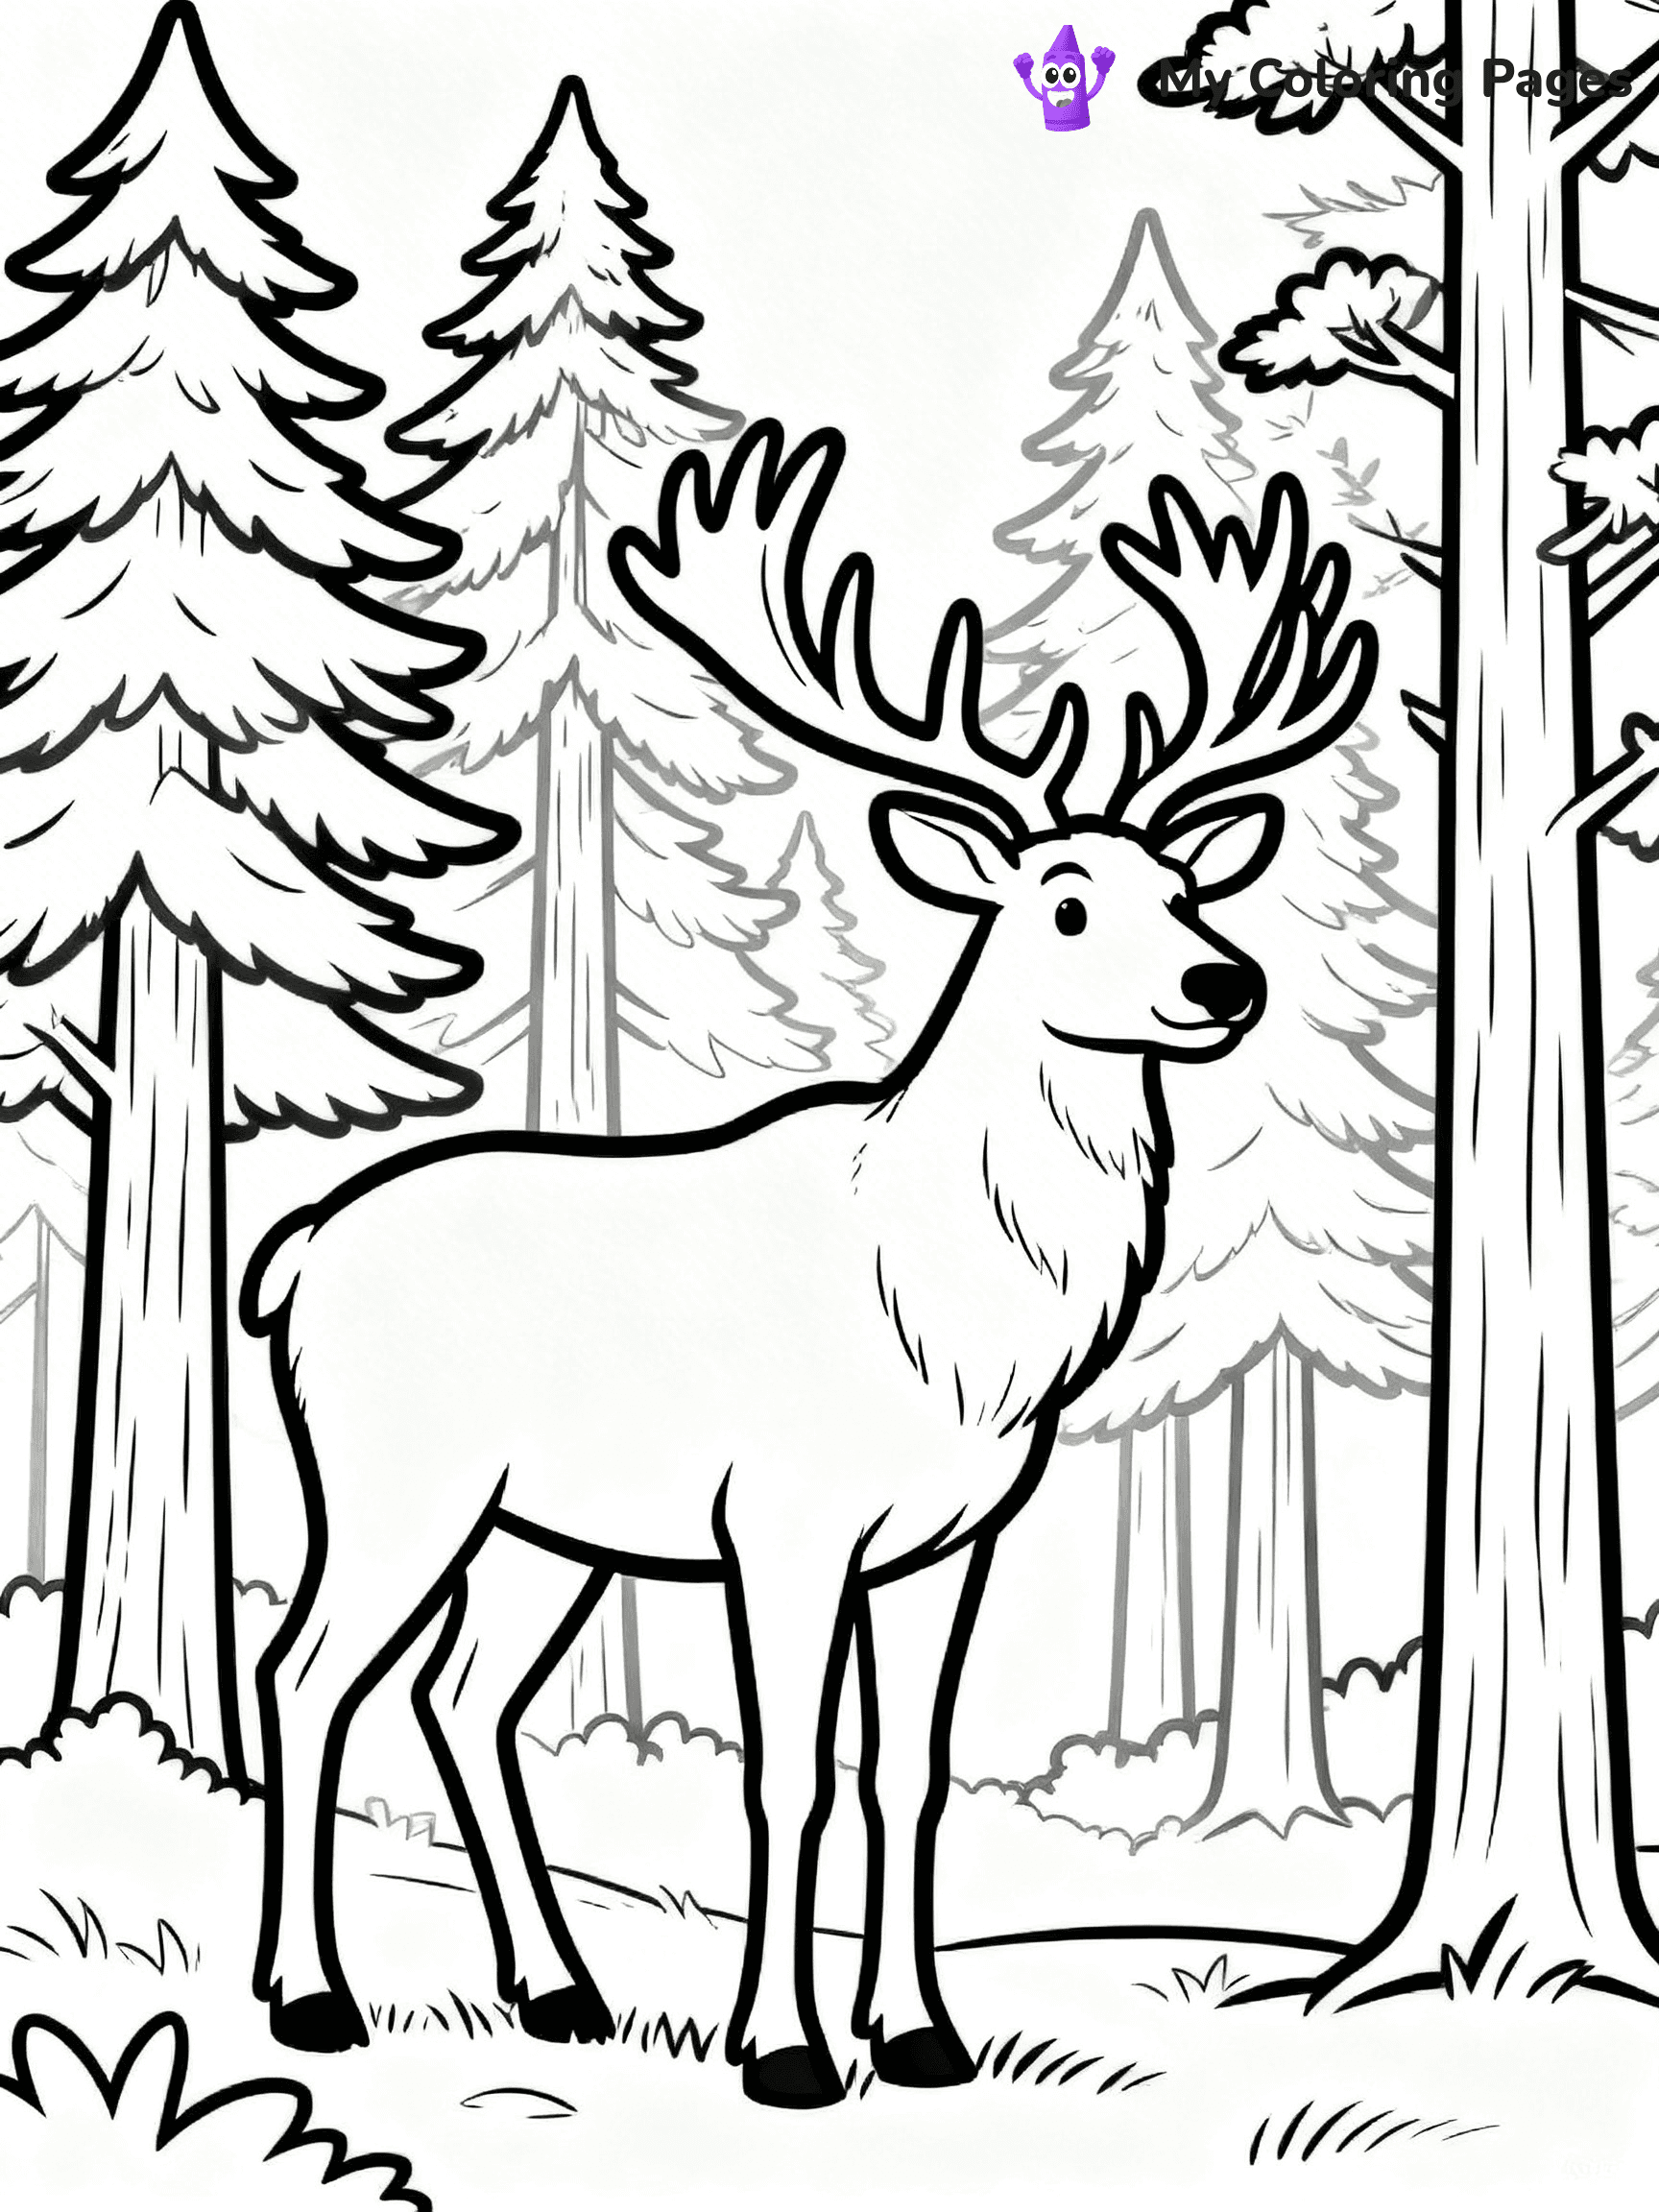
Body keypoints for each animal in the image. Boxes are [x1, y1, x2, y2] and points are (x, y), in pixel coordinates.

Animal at [246, 419, 1375, 2108]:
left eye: (1185, 889)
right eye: (1063, 904)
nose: (1224, 981)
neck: (967, 1328)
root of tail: (293, 1249)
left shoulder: (953, 1536)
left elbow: (909, 1774)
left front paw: (920, 2035)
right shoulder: (782, 1515)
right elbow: (789, 1774)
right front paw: (779, 2046)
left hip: (543, 1530)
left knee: (464, 1696)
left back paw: (557, 1990)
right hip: (394, 1472)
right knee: (308, 1673)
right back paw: (310, 1996)